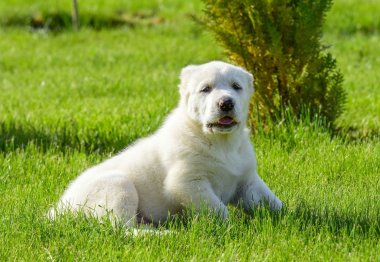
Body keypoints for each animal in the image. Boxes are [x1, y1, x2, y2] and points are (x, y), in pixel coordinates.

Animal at [49, 61, 282, 225]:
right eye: (206, 89)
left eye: (236, 87)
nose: (226, 102)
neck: (221, 143)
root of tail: (58, 209)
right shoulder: (188, 183)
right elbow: (218, 210)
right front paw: (233, 228)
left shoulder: (247, 181)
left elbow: (272, 201)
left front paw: (289, 218)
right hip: (117, 187)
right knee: (121, 228)